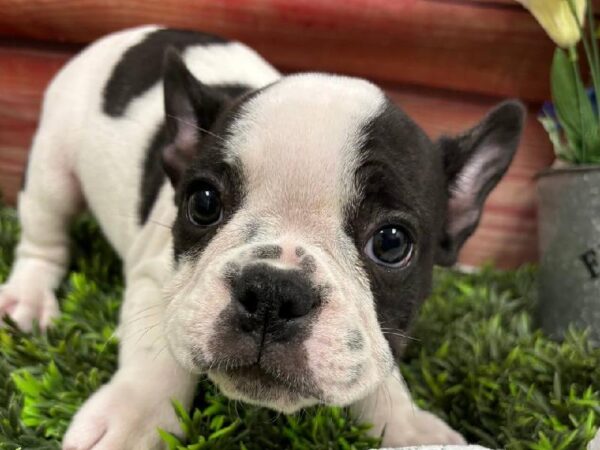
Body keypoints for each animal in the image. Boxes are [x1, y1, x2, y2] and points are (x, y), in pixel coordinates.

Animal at [0, 25, 524, 450]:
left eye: (392, 243)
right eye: (203, 203)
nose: (273, 292)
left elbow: (380, 369)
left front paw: (409, 428)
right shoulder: (157, 274)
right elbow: (157, 350)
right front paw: (133, 420)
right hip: (53, 165)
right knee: (43, 235)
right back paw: (29, 297)